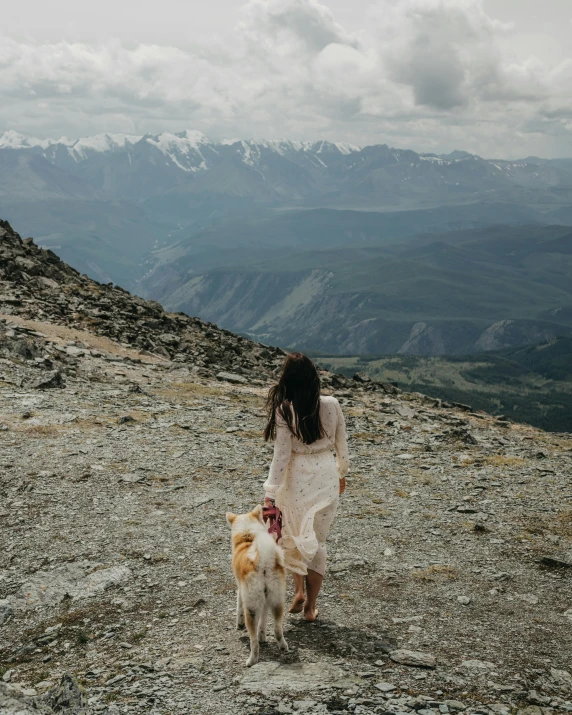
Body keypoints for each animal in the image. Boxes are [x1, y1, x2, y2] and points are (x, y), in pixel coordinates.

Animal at [226, 506, 288, 668]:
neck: (248, 536)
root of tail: (263, 562)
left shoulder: (240, 590)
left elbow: (239, 608)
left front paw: (239, 624)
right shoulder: (265, 601)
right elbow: (264, 620)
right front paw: (263, 636)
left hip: (252, 608)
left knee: (253, 642)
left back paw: (251, 661)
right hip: (277, 600)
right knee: (277, 629)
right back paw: (283, 646)